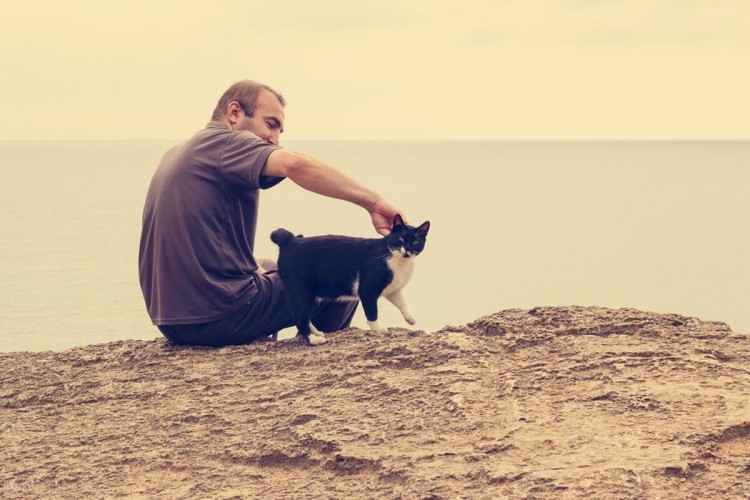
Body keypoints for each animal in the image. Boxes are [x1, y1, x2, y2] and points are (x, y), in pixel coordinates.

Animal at [274, 213, 432, 346]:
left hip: (314, 294)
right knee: (298, 315)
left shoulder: (393, 289)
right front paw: (379, 329)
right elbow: (372, 313)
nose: (407, 249)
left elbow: (403, 302)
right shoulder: (368, 290)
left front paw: (410, 318)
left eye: (415, 241)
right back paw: (313, 340)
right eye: (401, 238)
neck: (398, 260)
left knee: (304, 315)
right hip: (302, 290)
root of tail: (290, 241)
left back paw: (317, 333)